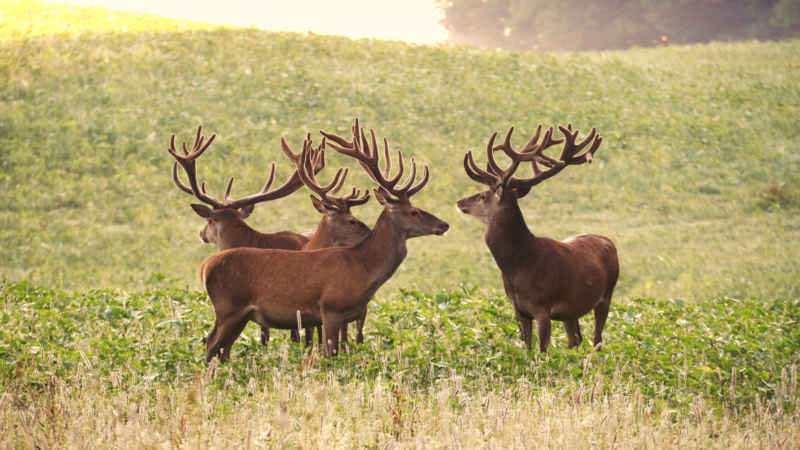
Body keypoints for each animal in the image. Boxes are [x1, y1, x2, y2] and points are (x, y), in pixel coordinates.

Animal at [200, 119, 450, 362]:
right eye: (414, 212)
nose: (444, 224)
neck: (364, 268)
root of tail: (205, 266)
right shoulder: (330, 309)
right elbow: (329, 354)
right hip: (228, 307)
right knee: (211, 343)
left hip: (240, 315)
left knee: (220, 347)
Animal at [456, 123, 620, 352]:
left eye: (482, 195)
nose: (460, 202)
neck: (519, 264)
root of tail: (609, 241)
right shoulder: (519, 310)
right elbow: (527, 349)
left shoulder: (543, 307)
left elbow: (542, 351)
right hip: (572, 310)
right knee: (575, 340)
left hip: (606, 295)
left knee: (597, 340)